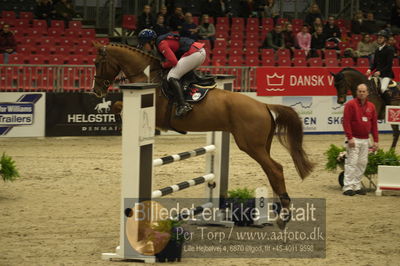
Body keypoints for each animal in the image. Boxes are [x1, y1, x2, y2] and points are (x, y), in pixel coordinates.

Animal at [92, 42, 314, 228]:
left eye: (98, 63)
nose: (96, 91)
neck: (147, 77)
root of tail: (264, 105)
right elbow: (116, 104)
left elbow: (118, 105)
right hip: (261, 145)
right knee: (272, 171)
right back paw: (278, 211)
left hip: (251, 145)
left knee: (275, 169)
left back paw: (284, 215)